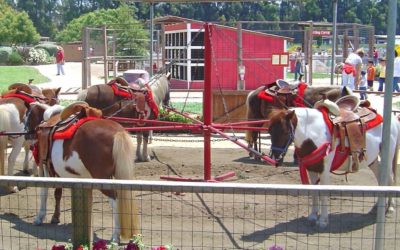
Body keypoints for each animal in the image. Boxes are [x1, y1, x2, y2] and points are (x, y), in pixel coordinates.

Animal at [25, 101, 140, 242]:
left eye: (27, 115)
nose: (26, 134)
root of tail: (117, 132)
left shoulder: (43, 166)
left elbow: (43, 192)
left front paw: (40, 217)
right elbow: (58, 193)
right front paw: (55, 217)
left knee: (115, 200)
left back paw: (115, 236)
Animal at [266, 104, 400, 229]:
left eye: (285, 132)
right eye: (269, 131)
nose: (276, 157)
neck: (314, 133)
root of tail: (393, 119)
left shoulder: (324, 171)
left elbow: (324, 194)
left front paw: (323, 221)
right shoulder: (312, 169)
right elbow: (314, 193)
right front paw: (313, 216)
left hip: (387, 157)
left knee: (390, 179)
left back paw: (390, 208)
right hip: (373, 160)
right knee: (380, 179)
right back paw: (377, 207)